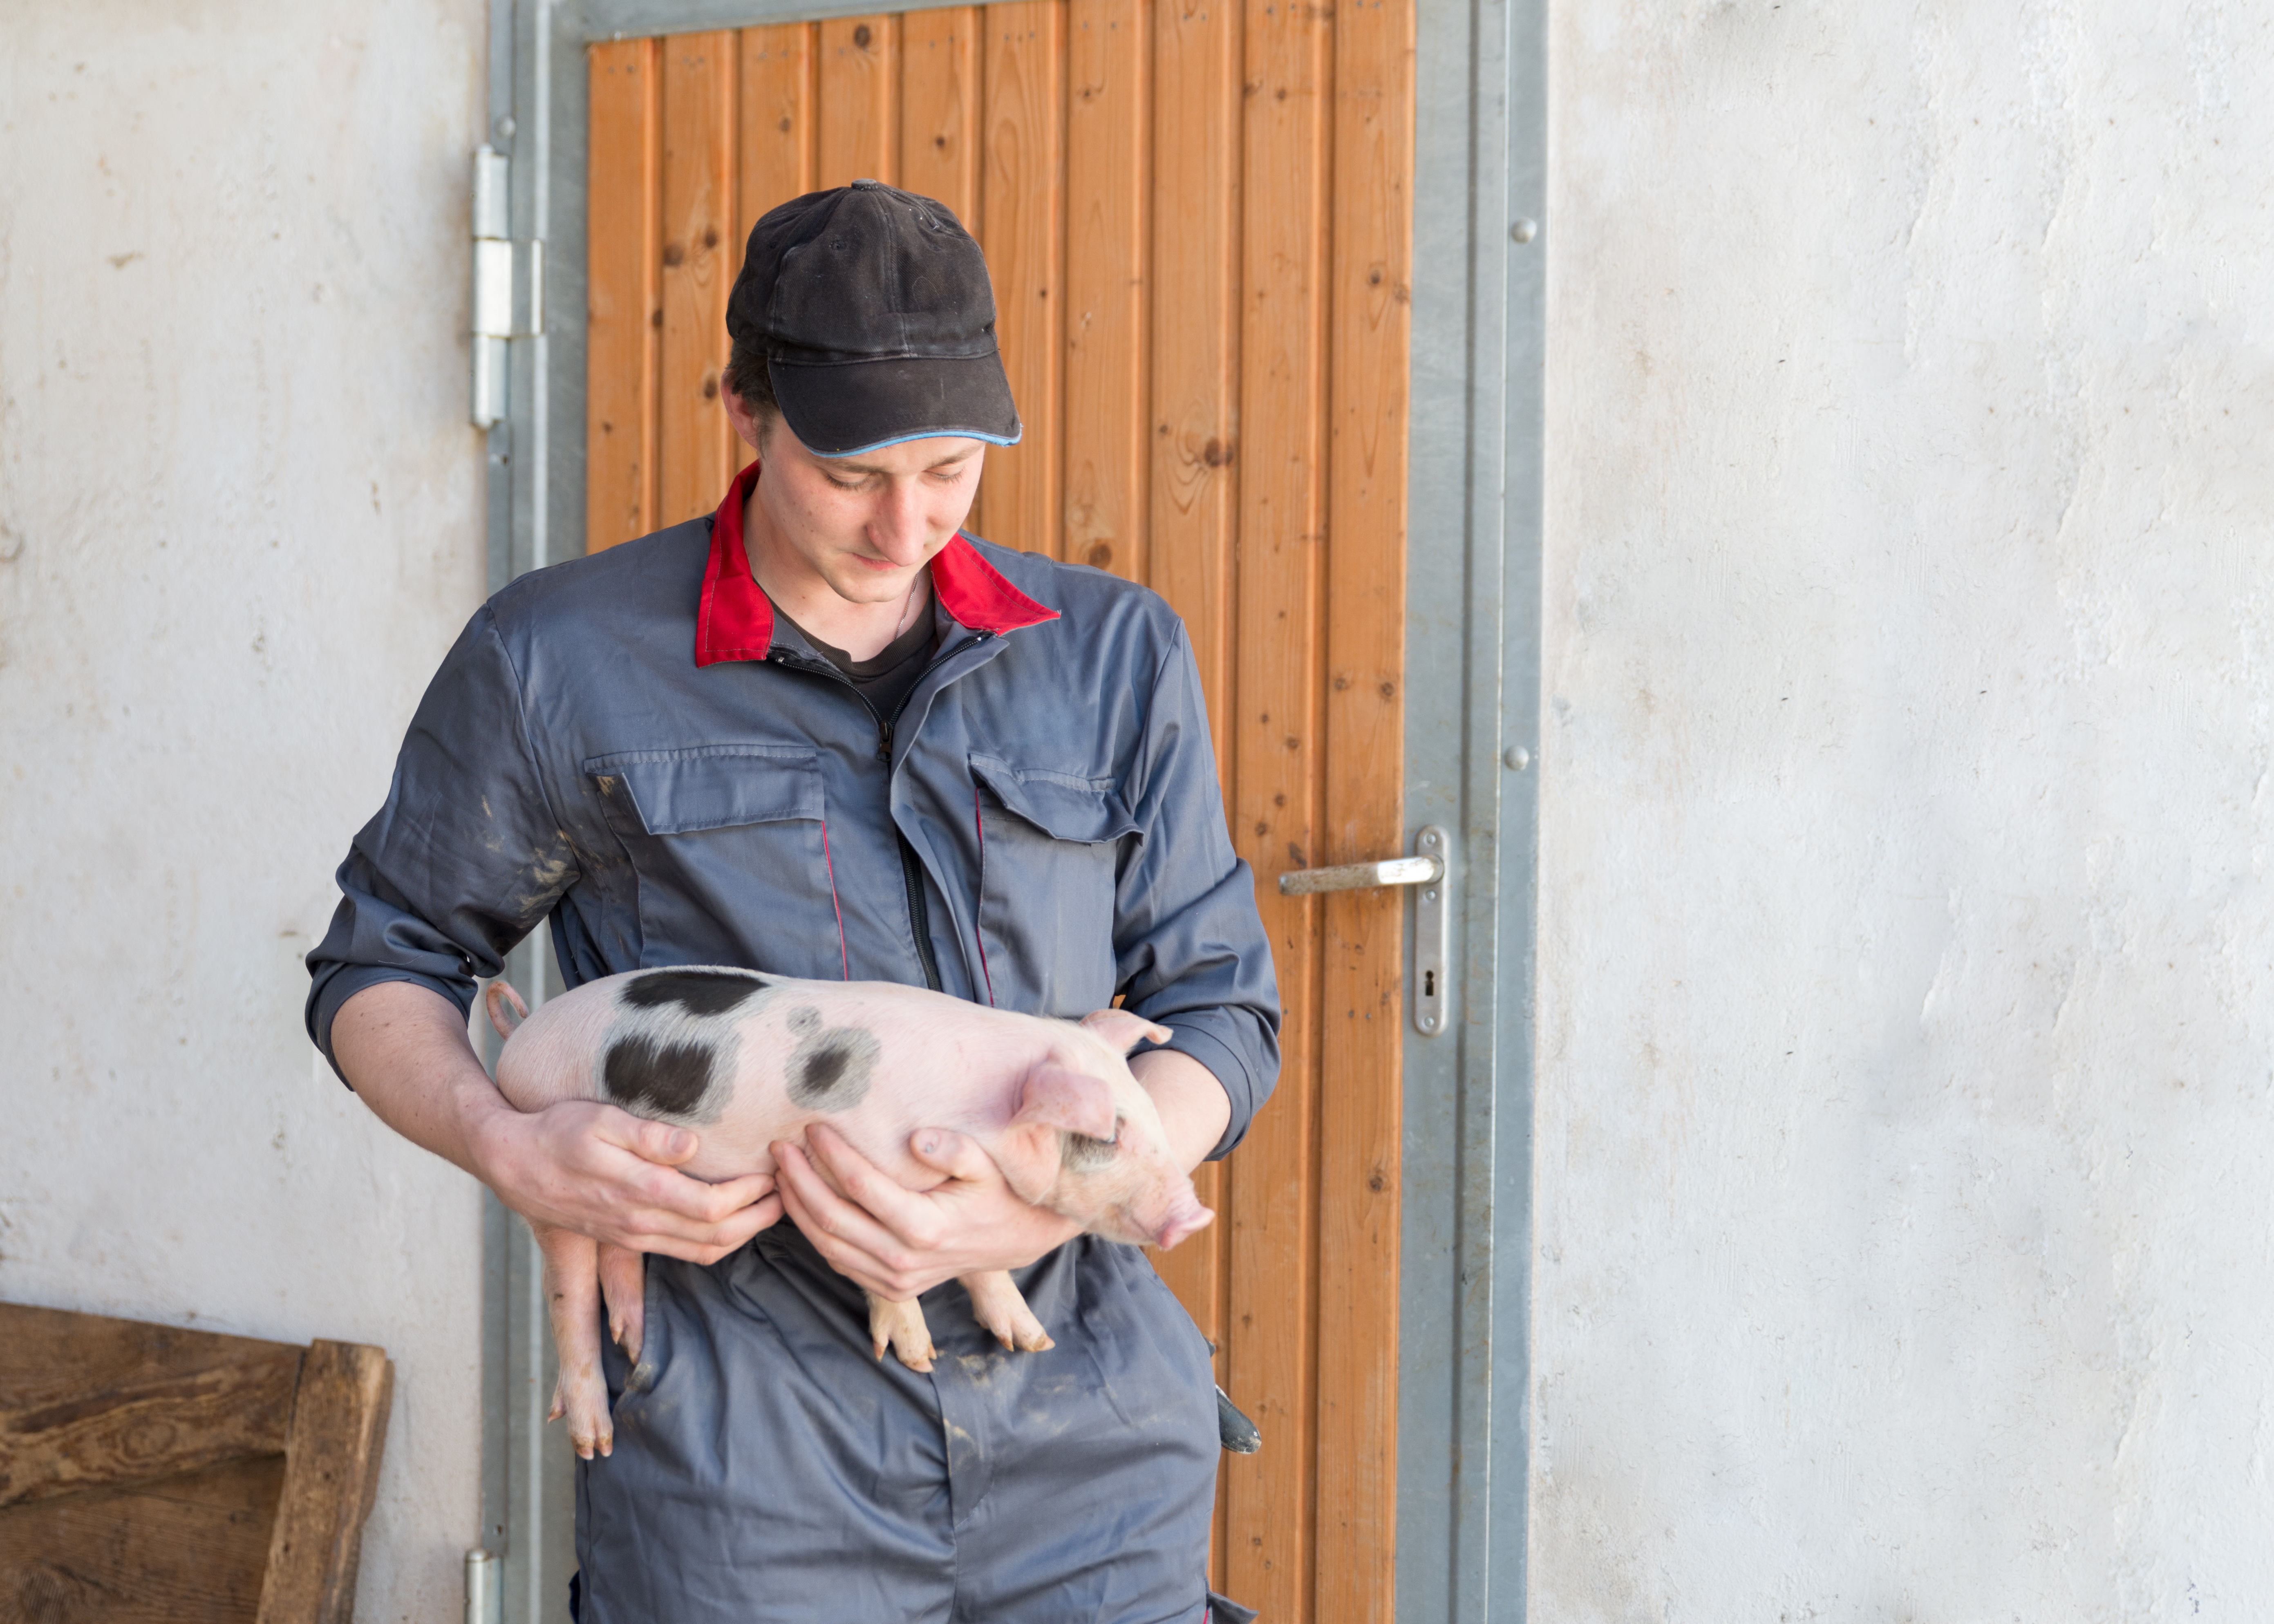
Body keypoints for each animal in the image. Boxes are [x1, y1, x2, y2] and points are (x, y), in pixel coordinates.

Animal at [484, 964, 1214, 1458]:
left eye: (1148, 1116)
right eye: (1107, 1136)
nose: (1196, 1217)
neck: (978, 1103)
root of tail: (519, 1035)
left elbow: (980, 1265)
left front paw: (1031, 1341)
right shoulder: (857, 1166)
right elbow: (881, 1277)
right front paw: (919, 1357)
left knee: (619, 1251)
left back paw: (634, 1341)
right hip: (553, 1167)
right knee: (569, 1296)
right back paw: (594, 1440)